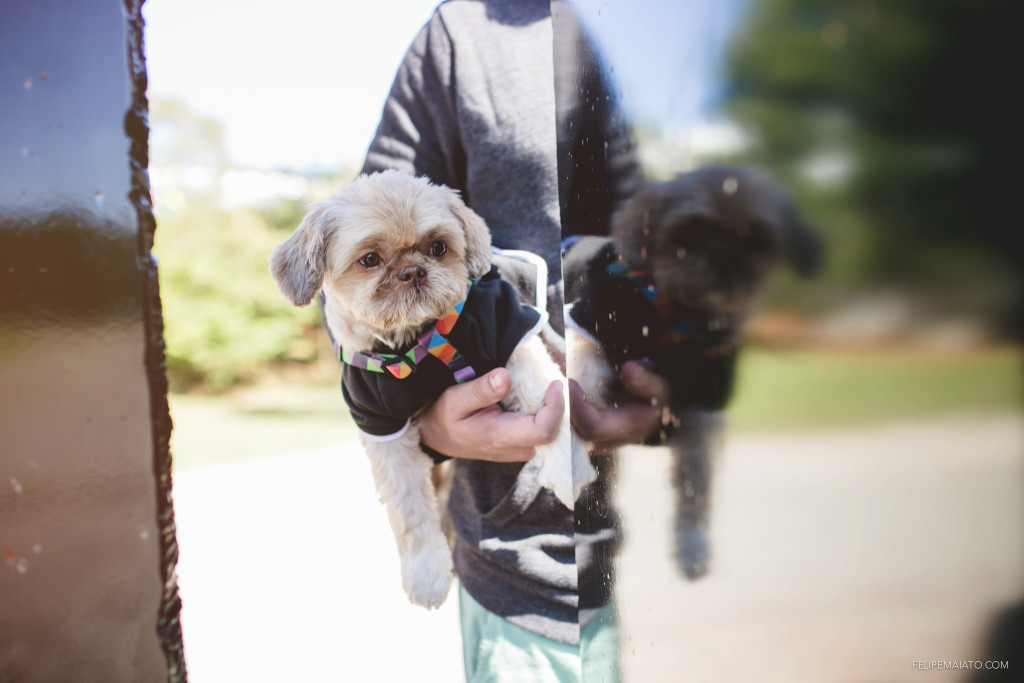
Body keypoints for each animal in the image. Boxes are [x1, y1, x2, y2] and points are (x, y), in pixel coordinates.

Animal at [272, 171, 589, 610]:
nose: (412, 270)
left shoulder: (512, 335)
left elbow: (551, 404)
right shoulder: (382, 429)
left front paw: (567, 467)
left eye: (437, 248)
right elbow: (410, 512)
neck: (415, 345)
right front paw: (426, 573)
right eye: (369, 259)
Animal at [565, 162, 819, 581]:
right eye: (690, 233)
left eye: (759, 241)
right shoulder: (592, 322)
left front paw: (692, 543)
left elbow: (695, 479)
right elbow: (583, 375)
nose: (726, 259)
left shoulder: (703, 398)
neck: (677, 319)